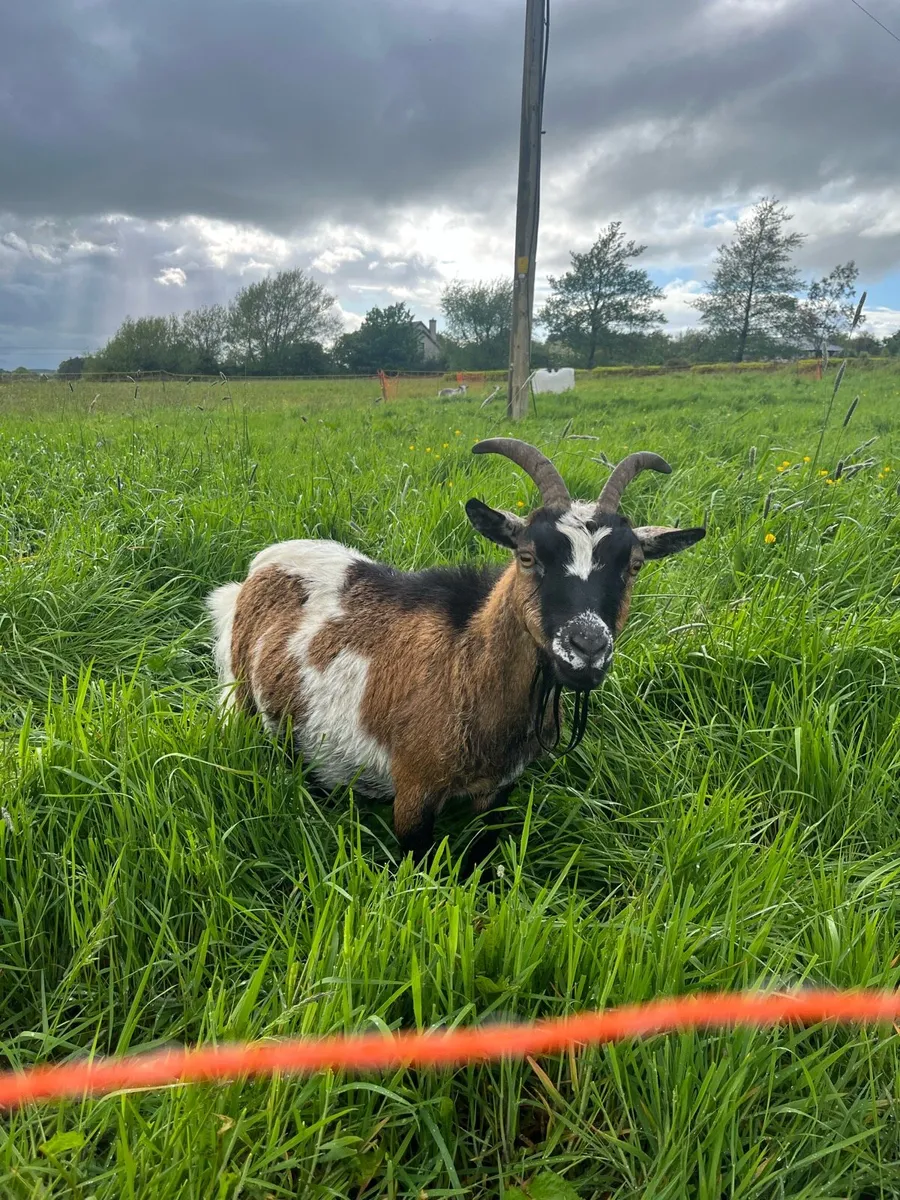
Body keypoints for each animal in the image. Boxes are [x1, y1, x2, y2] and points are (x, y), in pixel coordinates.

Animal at [207, 439, 705, 865]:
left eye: (634, 565)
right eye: (527, 556)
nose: (587, 648)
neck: (463, 665)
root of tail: (259, 567)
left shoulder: (498, 791)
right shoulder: (413, 793)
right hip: (241, 700)